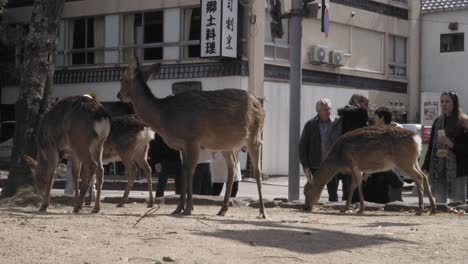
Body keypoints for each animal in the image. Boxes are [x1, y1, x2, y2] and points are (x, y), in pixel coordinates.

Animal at [116, 60, 266, 218]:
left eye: (123, 79)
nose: (119, 95)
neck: (165, 117)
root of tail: (260, 105)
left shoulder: (193, 140)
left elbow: (190, 171)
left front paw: (188, 208)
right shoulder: (182, 146)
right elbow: (183, 170)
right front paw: (178, 208)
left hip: (254, 136)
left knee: (257, 171)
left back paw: (262, 211)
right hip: (227, 144)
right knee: (232, 168)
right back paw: (222, 209)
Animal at [304, 125, 438, 216]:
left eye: (307, 191)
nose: (306, 208)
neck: (339, 159)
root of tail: (417, 139)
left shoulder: (354, 165)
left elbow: (357, 185)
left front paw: (360, 209)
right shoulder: (359, 169)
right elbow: (352, 186)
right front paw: (345, 208)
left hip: (405, 161)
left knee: (419, 177)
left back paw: (420, 210)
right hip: (414, 160)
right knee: (424, 176)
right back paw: (432, 209)